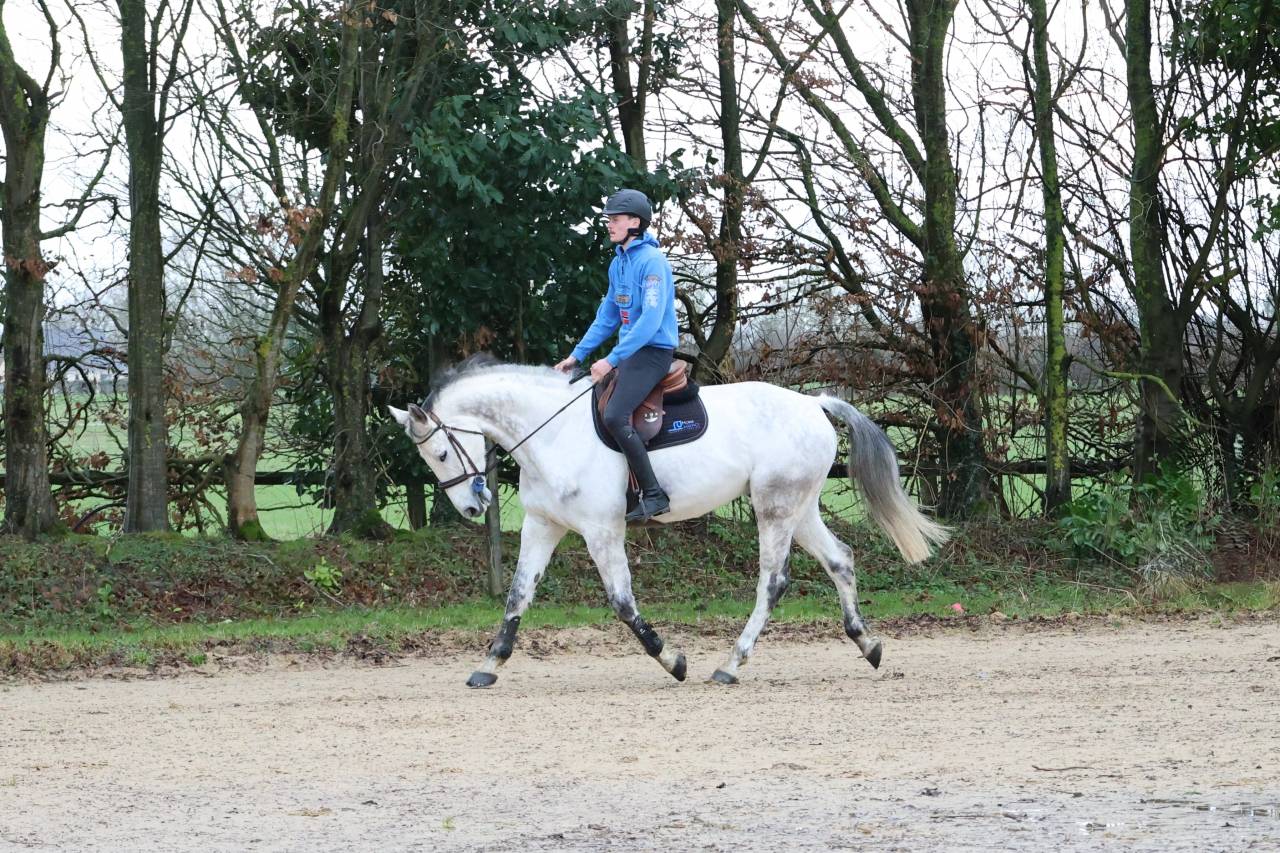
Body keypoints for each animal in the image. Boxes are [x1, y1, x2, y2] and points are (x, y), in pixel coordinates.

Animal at [389, 357, 949, 687]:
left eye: (441, 452)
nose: (471, 508)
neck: (552, 432)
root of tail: (813, 402)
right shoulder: (542, 526)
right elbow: (517, 594)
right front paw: (489, 665)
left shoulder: (602, 531)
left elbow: (621, 603)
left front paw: (672, 660)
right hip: (800, 506)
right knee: (840, 561)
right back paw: (868, 645)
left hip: (774, 507)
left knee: (773, 582)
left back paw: (730, 665)